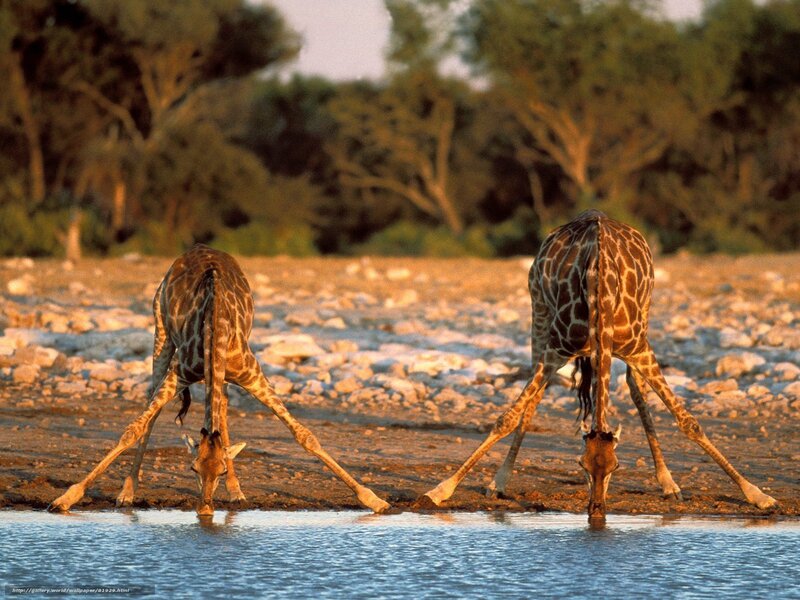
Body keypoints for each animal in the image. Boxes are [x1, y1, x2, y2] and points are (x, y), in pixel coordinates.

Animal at [49, 244, 390, 515]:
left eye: (222, 470)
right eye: (192, 468)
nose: (205, 509)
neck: (215, 326)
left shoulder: (252, 373)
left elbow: (305, 436)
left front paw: (374, 500)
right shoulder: (180, 372)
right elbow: (133, 429)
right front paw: (66, 498)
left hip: (220, 371)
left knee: (222, 410)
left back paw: (237, 492)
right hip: (161, 332)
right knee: (153, 406)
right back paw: (128, 492)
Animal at [418, 210, 777, 518]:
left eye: (616, 466)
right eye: (581, 465)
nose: (596, 511)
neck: (600, 291)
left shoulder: (639, 349)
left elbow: (689, 422)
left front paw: (758, 495)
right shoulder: (555, 350)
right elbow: (506, 418)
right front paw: (442, 489)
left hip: (645, 315)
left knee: (634, 388)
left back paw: (668, 483)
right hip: (539, 310)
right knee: (535, 394)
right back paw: (500, 481)